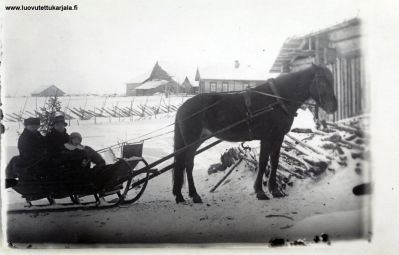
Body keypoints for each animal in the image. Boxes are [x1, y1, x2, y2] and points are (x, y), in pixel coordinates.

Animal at [172, 63, 338, 203]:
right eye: (322, 81)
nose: (334, 107)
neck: (277, 100)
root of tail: (184, 107)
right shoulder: (266, 138)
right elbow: (263, 162)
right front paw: (260, 191)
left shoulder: (278, 137)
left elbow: (274, 161)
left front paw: (274, 190)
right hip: (192, 141)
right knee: (188, 164)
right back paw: (194, 195)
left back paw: (181, 195)